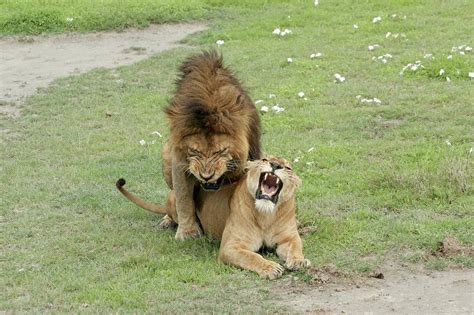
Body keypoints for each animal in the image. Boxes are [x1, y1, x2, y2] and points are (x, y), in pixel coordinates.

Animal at [162, 50, 260, 241]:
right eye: (194, 151)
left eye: (220, 151)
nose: (206, 176)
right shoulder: (179, 161)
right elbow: (183, 198)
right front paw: (187, 232)